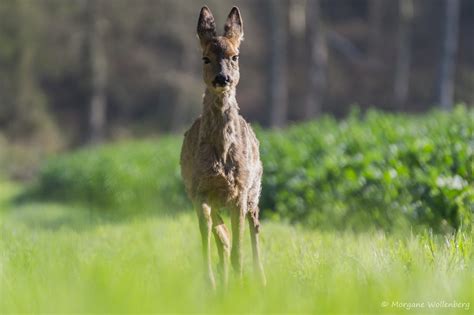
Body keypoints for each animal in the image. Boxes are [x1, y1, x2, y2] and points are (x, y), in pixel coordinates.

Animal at [180, 6, 266, 290]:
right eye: (205, 58)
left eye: (234, 56)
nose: (222, 78)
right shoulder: (200, 191)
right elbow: (212, 236)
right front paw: (211, 283)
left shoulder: (240, 191)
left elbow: (238, 245)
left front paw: (240, 284)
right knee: (223, 237)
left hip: (254, 190)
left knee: (254, 226)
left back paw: (260, 278)